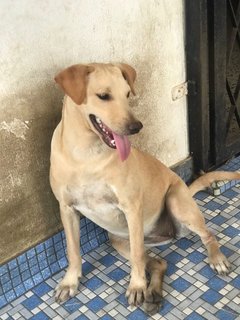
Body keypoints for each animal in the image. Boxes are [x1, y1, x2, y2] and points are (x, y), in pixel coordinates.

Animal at [50, 63, 240, 316]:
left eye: (127, 95)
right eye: (103, 96)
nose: (136, 127)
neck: (86, 155)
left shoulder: (131, 207)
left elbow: (138, 257)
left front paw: (137, 286)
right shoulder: (66, 209)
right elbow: (73, 250)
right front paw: (70, 281)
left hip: (175, 204)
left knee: (207, 235)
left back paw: (215, 259)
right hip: (118, 240)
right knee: (159, 262)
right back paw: (154, 295)